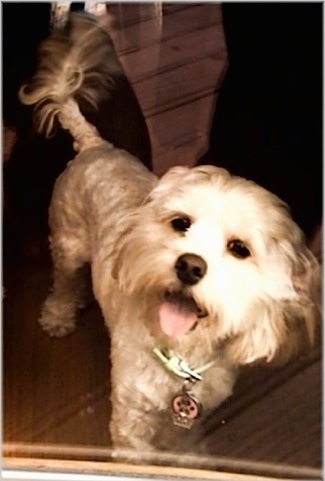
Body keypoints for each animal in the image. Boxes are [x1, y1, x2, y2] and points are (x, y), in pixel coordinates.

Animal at [19, 13, 320, 452]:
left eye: (240, 248)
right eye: (180, 222)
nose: (190, 266)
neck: (182, 355)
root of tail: (95, 145)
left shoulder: (192, 417)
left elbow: (184, 445)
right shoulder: (133, 421)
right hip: (68, 242)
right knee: (63, 283)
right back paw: (59, 316)